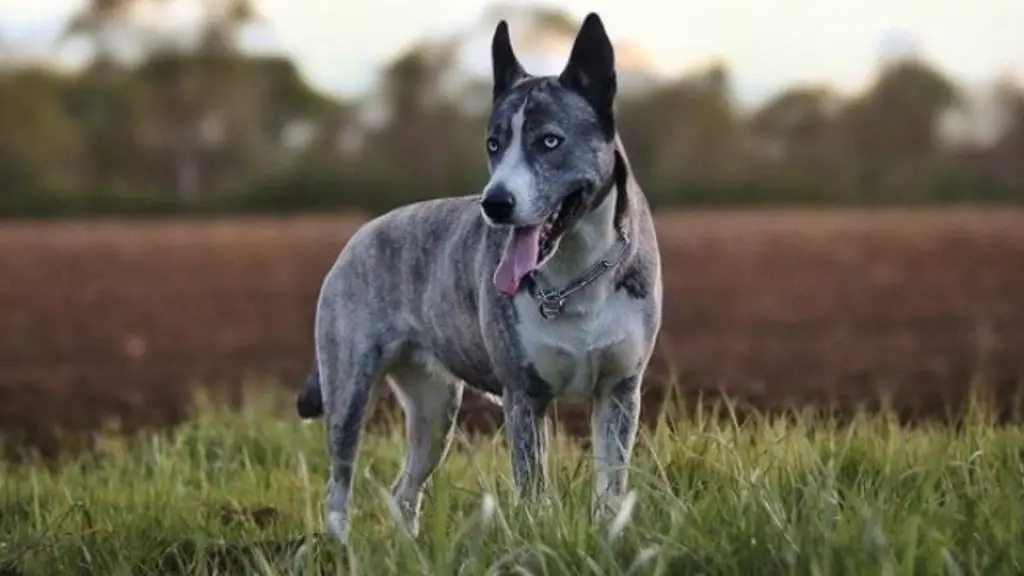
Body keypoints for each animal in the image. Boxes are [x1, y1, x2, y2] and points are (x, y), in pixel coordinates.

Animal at [296, 13, 663, 541]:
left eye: (549, 141)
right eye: (493, 143)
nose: (496, 203)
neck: (575, 274)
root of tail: (357, 238)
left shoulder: (619, 391)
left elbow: (610, 488)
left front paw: (609, 538)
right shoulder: (524, 397)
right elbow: (533, 489)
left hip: (434, 410)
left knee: (403, 490)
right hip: (347, 389)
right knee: (338, 486)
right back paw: (342, 546)